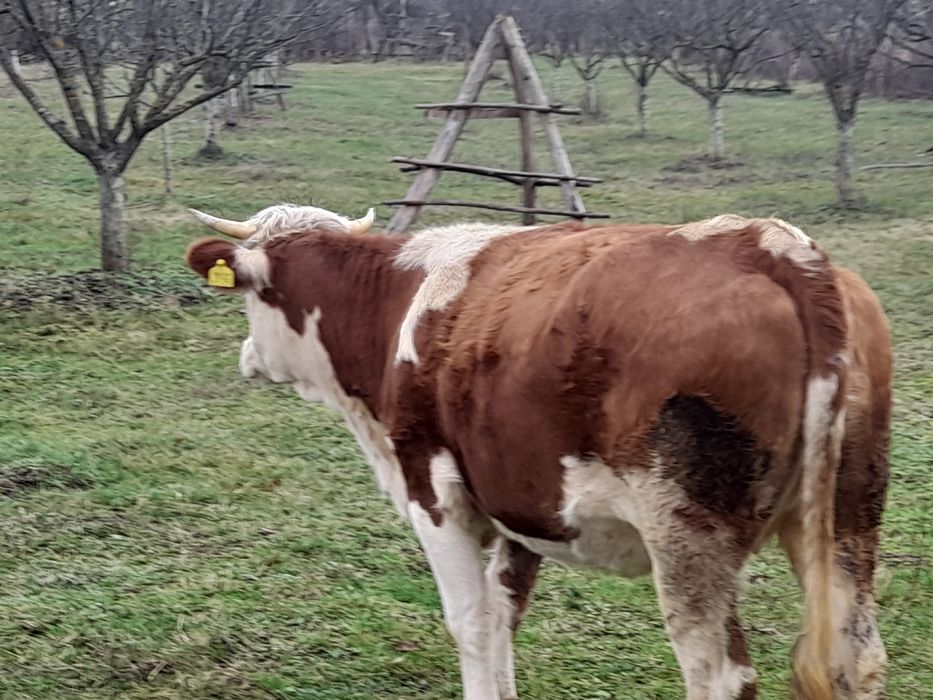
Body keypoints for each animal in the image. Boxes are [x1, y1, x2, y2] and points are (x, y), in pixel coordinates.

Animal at [185, 204, 892, 700]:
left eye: (250, 297)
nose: (247, 358)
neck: (393, 303)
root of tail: (768, 244)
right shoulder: (519, 505)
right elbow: (502, 618)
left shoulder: (435, 495)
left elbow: (471, 624)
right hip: (847, 516)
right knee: (858, 658)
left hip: (689, 535)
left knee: (718, 676)